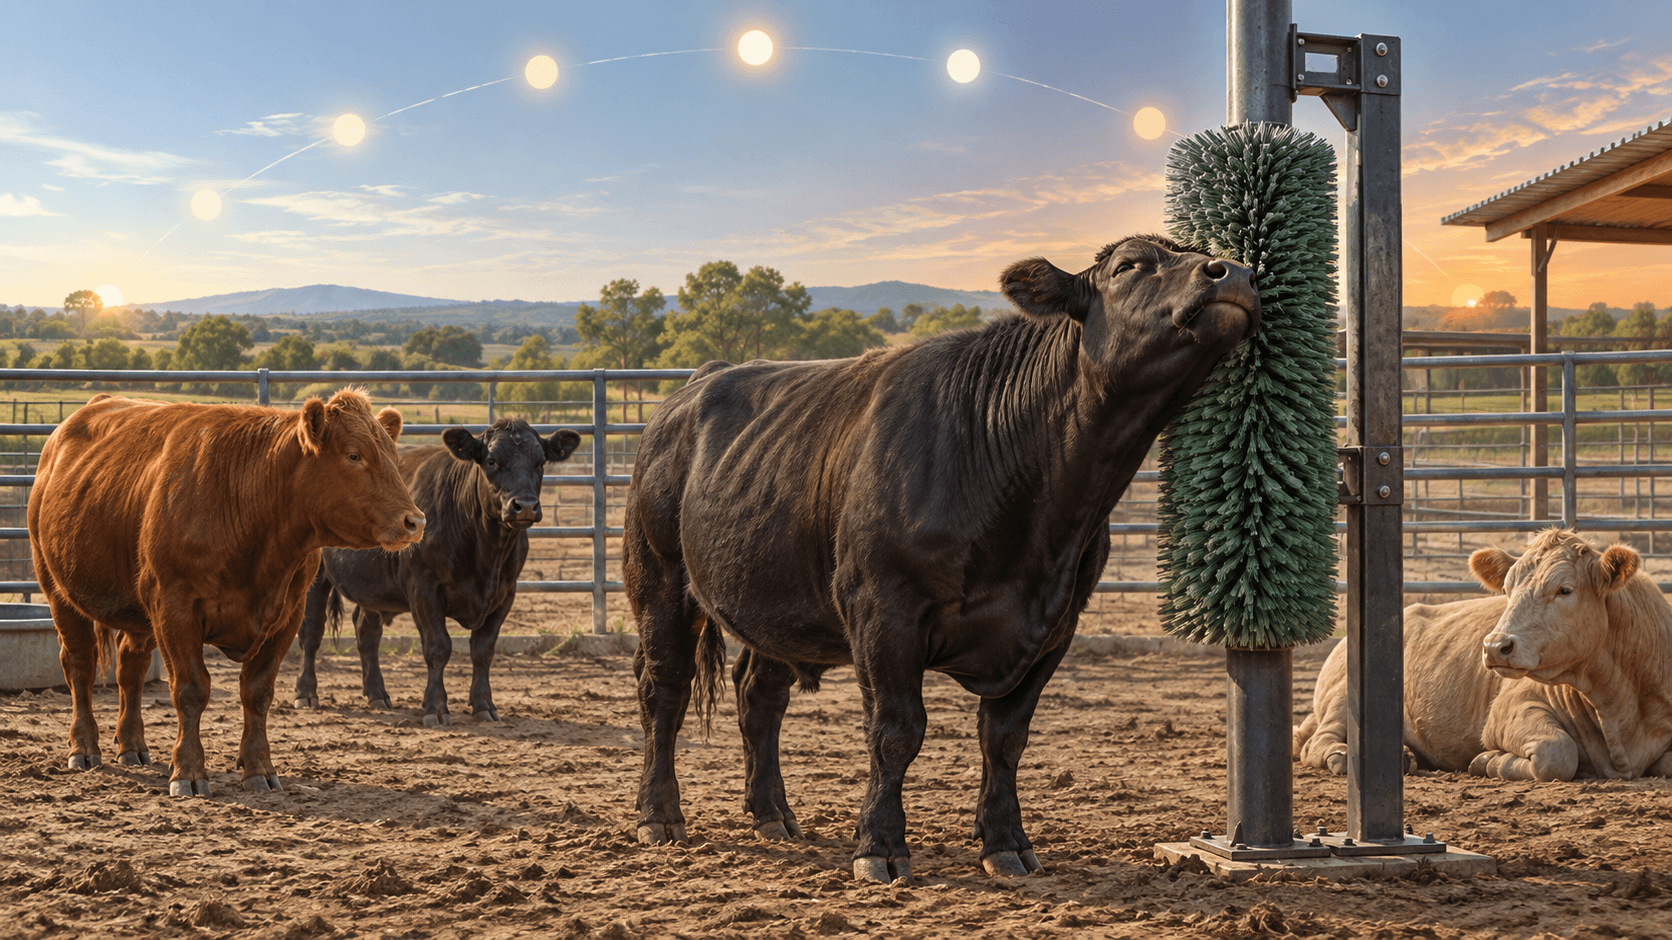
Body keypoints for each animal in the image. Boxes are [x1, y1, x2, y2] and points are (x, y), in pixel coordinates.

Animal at [28, 389, 424, 797]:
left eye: (393, 455)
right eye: (354, 455)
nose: (414, 521)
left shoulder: (288, 614)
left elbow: (258, 691)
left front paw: (259, 768)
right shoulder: (175, 607)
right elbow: (190, 689)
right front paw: (188, 772)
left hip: (140, 614)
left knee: (130, 669)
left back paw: (132, 746)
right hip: (58, 590)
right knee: (79, 664)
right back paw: (84, 748)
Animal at [292, 417, 581, 726]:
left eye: (541, 462)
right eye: (491, 460)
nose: (524, 505)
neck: (486, 551)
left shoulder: (505, 593)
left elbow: (483, 650)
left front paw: (484, 705)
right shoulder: (424, 588)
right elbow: (438, 648)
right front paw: (436, 708)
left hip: (373, 585)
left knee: (366, 631)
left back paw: (377, 694)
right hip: (315, 576)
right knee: (311, 631)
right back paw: (306, 693)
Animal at [624, 234, 1260, 883]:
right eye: (1130, 265)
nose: (1233, 272)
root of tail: (701, 381)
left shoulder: (1055, 627)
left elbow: (1005, 738)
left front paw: (1006, 843)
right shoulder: (885, 611)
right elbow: (896, 731)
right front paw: (880, 846)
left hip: (778, 602)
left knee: (759, 696)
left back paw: (772, 815)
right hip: (660, 579)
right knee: (664, 689)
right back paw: (659, 816)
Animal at [1295, 529, 1672, 782]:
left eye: (1564, 590)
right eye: (1506, 588)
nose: (1494, 646)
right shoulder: (1509, 709)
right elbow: (1557, 753)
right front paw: (1487, 761)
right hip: (1345, 695)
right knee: (1315, 742)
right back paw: (1344, 756)